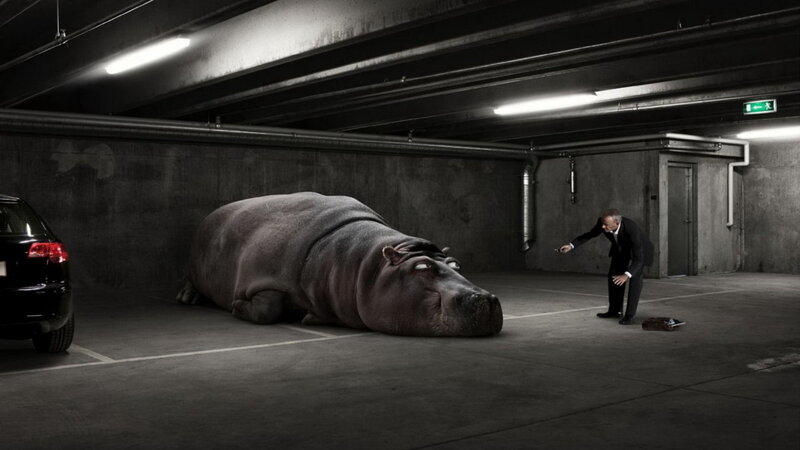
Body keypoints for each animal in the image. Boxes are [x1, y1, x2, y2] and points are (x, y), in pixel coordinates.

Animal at [177, 192, 502, 337]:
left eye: (456, 263)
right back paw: (187, 298)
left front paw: (310, 318)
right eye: (421, 267)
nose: (486, 299)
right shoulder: (263, 277)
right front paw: (236, 306)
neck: (362, 264)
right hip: (194, 268)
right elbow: (267, 309)